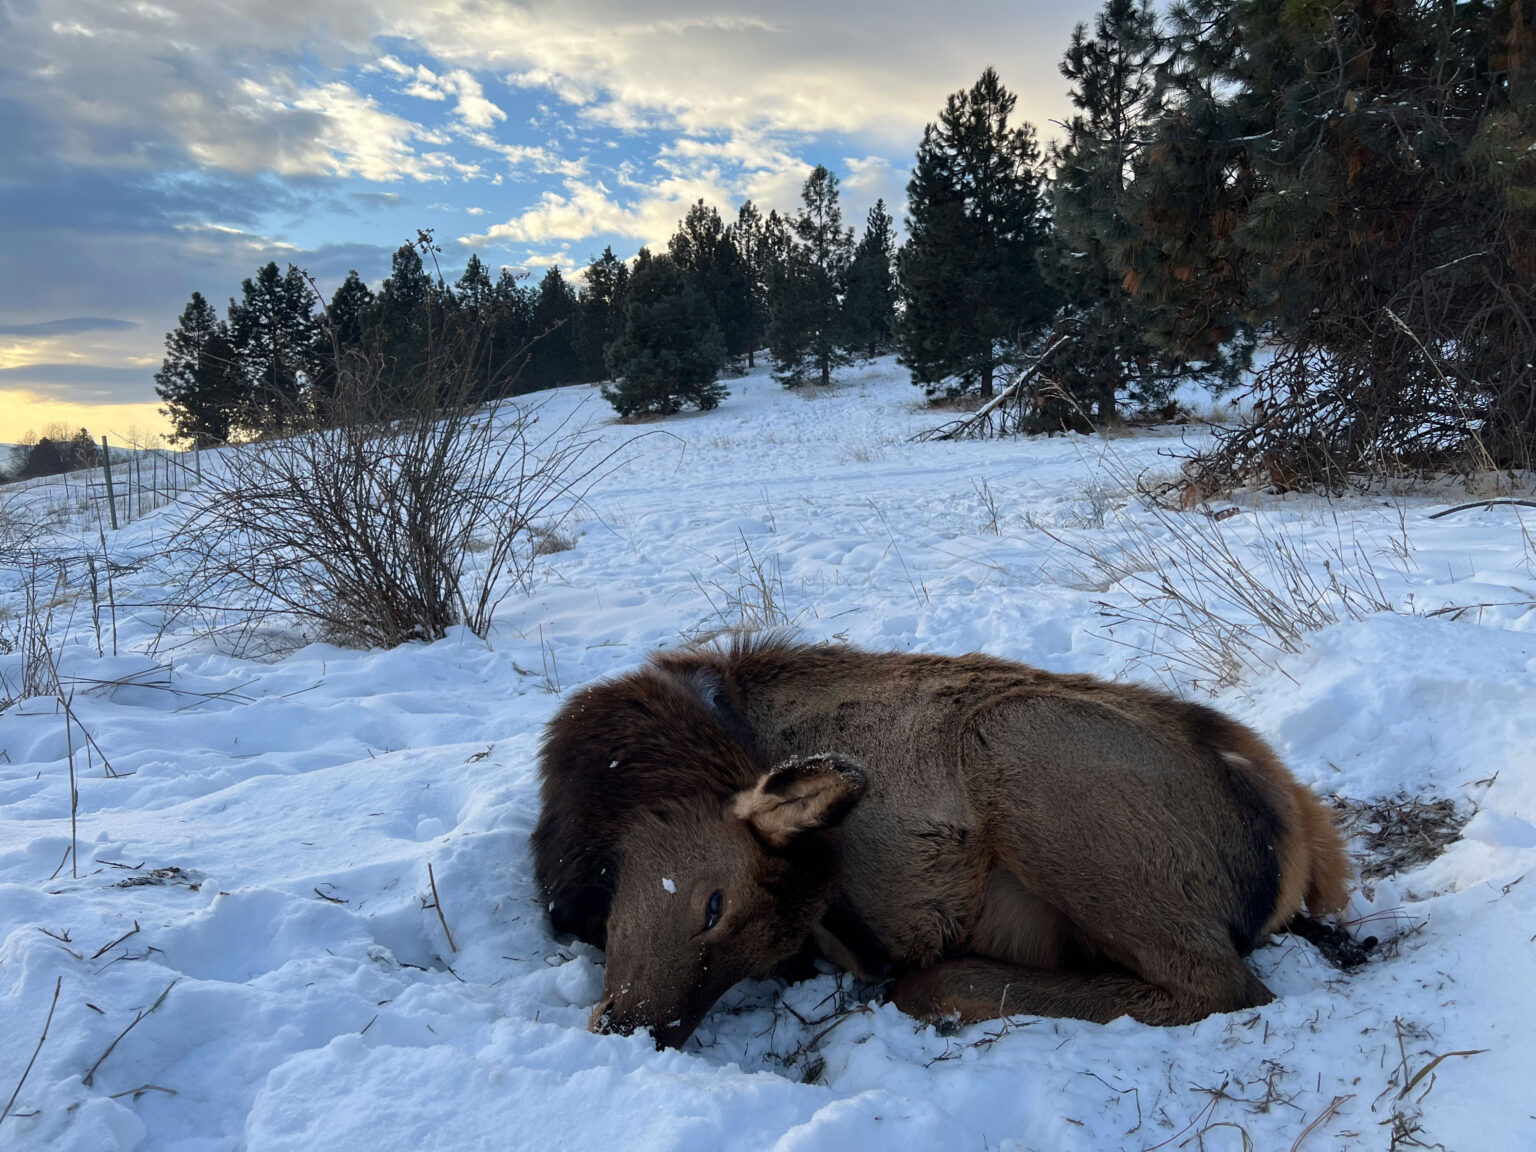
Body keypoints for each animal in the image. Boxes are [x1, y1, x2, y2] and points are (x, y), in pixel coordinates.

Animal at [532, 636, 1349, 1049]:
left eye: (713, 905)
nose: (639, 1032)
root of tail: (1300, 840)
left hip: (1018, 741)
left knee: (1223, 986)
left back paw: (938, 987)